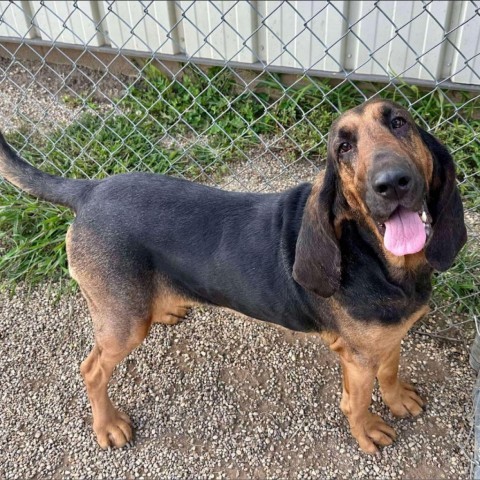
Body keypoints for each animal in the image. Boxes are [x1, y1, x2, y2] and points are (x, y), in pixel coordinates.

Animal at [0, 98, 464, 454]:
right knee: (92, 369)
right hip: (122, 323)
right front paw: (367, 430)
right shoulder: (357, 357)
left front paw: (398, 398)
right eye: (344, 146)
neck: (381, 260)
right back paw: (107, 425)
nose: (393, 183)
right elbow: (358, 401)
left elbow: (392, 369)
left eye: (399, 122)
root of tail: (89, 190)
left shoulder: (387, 338)